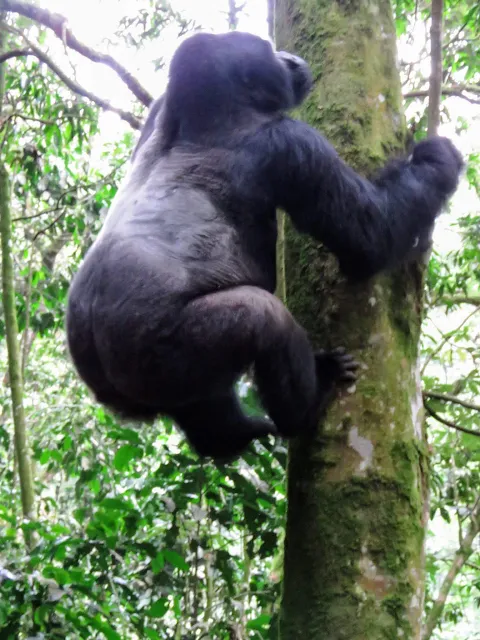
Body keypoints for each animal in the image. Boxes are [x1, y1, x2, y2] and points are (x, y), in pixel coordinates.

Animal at [65, 31, 464, 460]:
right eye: (270, 54)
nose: (290, 58)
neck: (205, 111)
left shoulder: (161, 108)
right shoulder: (290, 143)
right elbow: (370, 238)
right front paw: (438, 160)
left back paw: (223, 436)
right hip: (153, 352)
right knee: (262, 318)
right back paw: (307, 405)